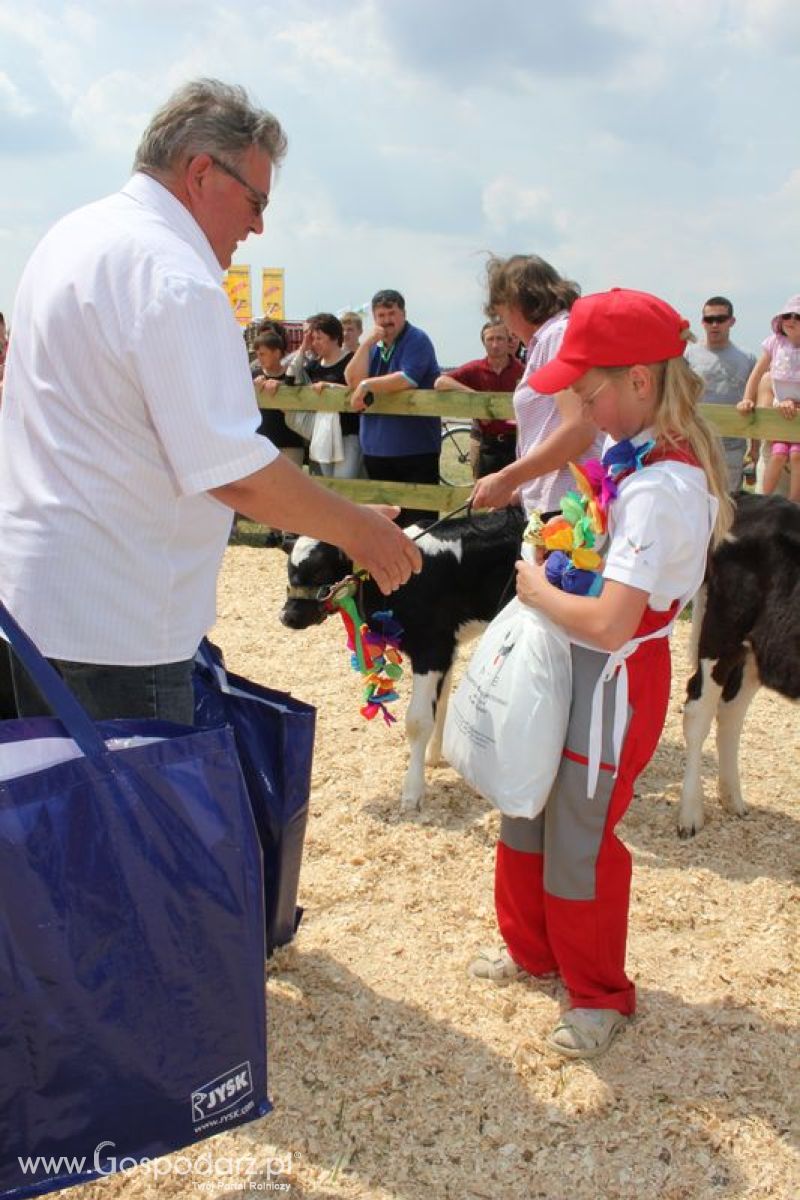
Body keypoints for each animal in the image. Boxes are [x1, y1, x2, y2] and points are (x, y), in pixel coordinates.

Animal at [281, 511, 525, 811]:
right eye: (289, 569)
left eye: (319, 571)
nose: (288, 616)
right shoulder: (447, 647)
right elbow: (441, 703)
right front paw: (433, 757)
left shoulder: (431, 648)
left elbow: (418, 721)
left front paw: (412, 792)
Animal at [681, 492, 800, 840]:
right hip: (723, 632)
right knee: (699, 711)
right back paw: (690, 814)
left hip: (758, 650)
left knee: (730, 713)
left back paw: (732, 798)